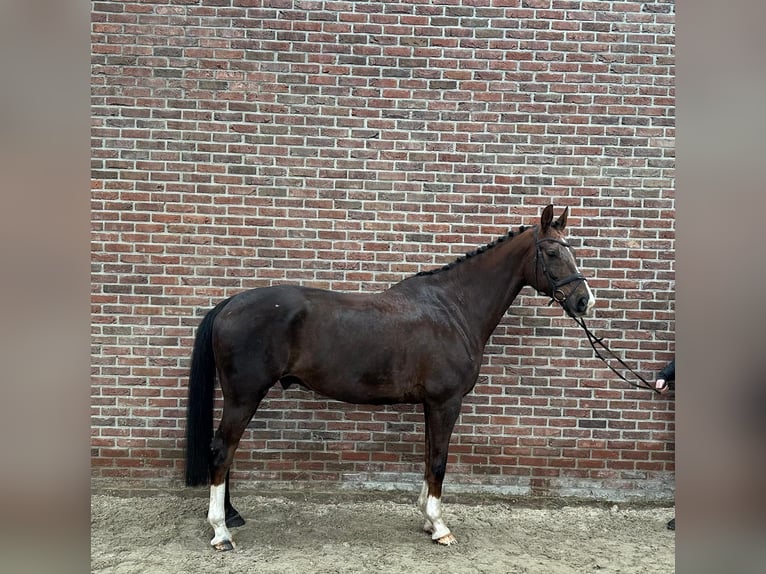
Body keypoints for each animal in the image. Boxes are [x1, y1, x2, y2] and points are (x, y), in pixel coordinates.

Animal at [185, 204, 595, 551]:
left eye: (570, 248)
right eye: (553, 252)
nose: (583, 301)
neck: (453, 308)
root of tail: (228, 305)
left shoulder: (432, 404)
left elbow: (429, 456)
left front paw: (427, 520)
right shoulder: (446, 402)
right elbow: (439, 460)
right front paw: (440, 527)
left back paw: (231, 517)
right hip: (244, 396)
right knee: (222, 450)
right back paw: (221, 532)